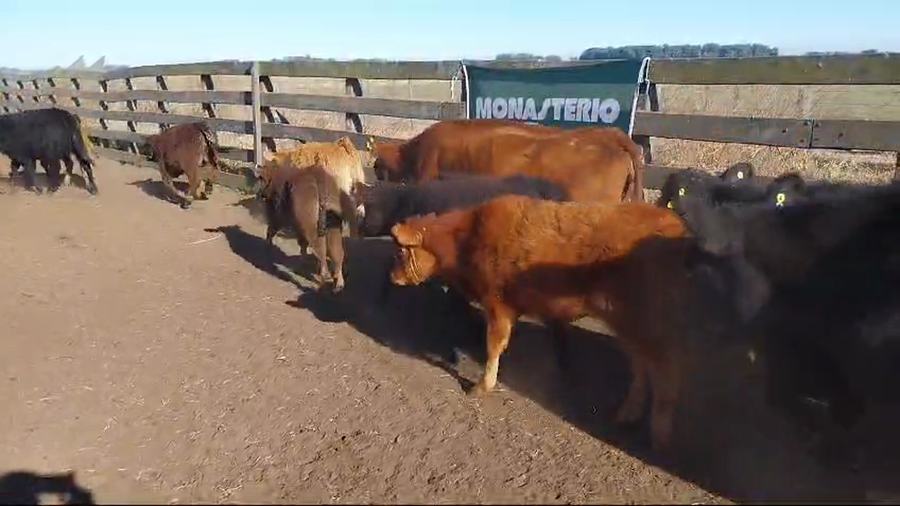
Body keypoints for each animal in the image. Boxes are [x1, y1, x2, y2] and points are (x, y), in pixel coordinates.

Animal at [257, 162, 359, 292]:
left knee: (320, 248)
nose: (261, 194)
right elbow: (303, 245)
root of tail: (319, 178)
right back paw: (338, 284)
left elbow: (273, 230)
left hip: (311, 226)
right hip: (333, 225)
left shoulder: (280, 216)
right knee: (337, 252)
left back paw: (324, 276)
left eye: (262, 179)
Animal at [388, 194, 697, 452]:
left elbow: (493, 346)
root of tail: (672, 224)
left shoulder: (498, 306)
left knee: (667, 366)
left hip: (646, 320)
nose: (393, 277)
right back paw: (629, 412)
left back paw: (660, 433)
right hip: (629, 323)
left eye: (401, 252)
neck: (469, 237)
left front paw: (482, 385)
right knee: (642, 363)